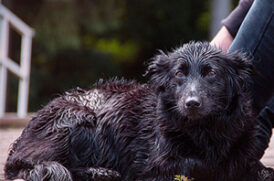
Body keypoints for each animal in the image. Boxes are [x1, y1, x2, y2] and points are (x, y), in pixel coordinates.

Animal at [4, 41, 274, 180]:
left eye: (211, 74)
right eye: (179, 74)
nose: (192, 103)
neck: (204, 129)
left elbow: (257, 168)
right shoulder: (154, 164)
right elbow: (201, 165)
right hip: (78, 118)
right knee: (27, 165)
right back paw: (98, 171)